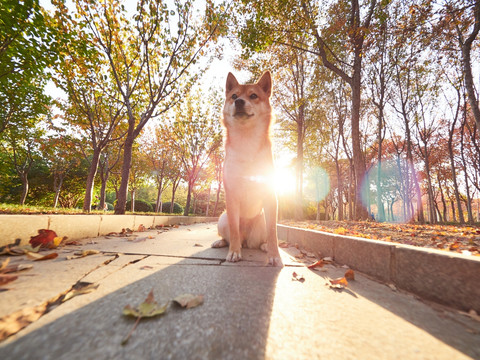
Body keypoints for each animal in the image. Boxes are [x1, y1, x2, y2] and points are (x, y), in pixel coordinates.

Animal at [211, 71, 284, 266]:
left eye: (253, 96)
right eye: (234, 96)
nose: (239, 102)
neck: (246, 141)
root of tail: (247, 240)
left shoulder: (270, 192)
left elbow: (273, 233)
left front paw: (275, 255)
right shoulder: (231, 194)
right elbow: (234, 230)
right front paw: (234, 252)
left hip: (262, 218)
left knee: (263, 238)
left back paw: (264, 246)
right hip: (223, 218)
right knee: (231, 235)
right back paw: (223, 242)